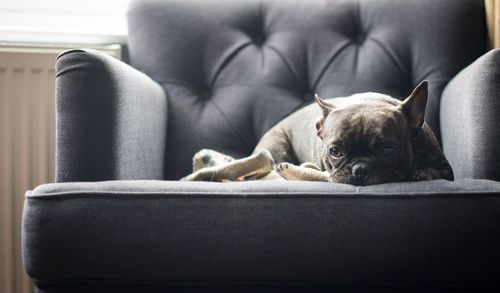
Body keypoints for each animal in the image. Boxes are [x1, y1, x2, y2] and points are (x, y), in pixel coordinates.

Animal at [254, 80, 454, 185]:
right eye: (335, 151)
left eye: (388, 150)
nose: (360, 169)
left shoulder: (445, 167)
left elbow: (437, 171)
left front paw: (423, 173)